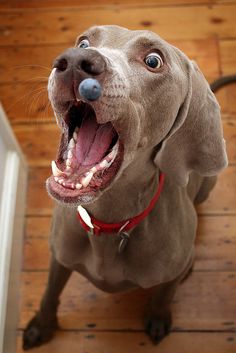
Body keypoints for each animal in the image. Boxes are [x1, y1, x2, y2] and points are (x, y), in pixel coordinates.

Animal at [22, 25, 229, 350]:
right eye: (84, 42)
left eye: (154, 60)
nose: (75, 60)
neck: (109, 221)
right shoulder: (59, 256)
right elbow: (50, 291)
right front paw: (41, 326)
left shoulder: (168, 275)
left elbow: (164, 294)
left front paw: (157, 317)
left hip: (209, 183)